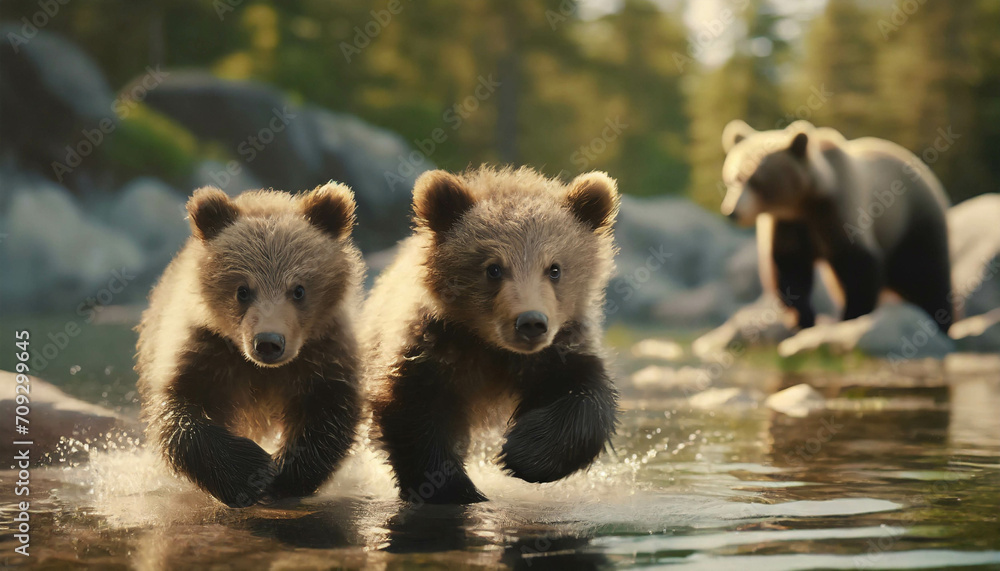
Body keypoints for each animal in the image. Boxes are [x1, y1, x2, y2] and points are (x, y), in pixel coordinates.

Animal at [136, 183, 364, 508]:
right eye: (242, 290)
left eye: (298, 290)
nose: (269, 342)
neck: (262, 370)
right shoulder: (205, 350)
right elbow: (179, 412)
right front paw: (250, 472)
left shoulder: (322, 352)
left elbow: (328, 409)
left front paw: (283, 476)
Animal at [363, 166, 620, 504]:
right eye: (493, 268)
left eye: (554, 268)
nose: (530, 322)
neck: (489, 346)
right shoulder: (433, 345)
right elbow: (414, 408)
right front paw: (452, 488)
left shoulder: (559, 348)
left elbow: (585, 396)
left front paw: (523, 454)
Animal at [718, 120, 953, 332]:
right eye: (731, 179)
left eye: (755, 181)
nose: (732, 212)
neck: (802, 203)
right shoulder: (787, 224)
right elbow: (790, 270)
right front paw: (803, 318)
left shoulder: (840, 209)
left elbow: (859, 264)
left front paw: (851, 316)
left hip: (911, 221)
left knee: (927, 275)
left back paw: (941, 321)